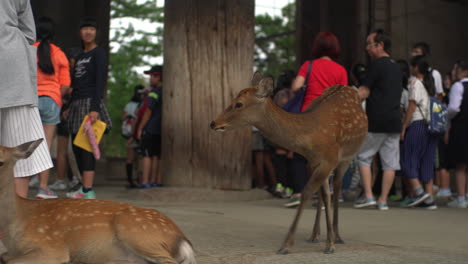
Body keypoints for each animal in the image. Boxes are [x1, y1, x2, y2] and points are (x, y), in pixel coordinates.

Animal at [210, 72, 368, 254]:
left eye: (239, 104)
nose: (213, 123)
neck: (310, 137)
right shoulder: (314, 162)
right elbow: (320, 194)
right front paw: (325, 241)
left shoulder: (330, 159)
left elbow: (307, 193)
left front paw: (287, 245)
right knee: (325, 194)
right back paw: (315, 235)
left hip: (348, 157)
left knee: (337, 188)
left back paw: (338, 236)